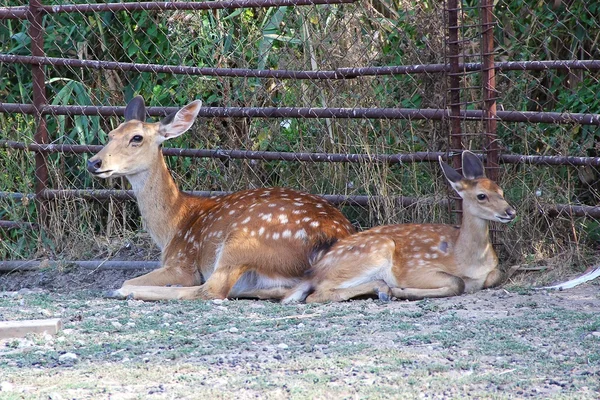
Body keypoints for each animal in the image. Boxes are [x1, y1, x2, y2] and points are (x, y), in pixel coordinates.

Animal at [86, 97, 354, 302]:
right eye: (110, 134)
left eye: (137, 138)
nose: (93, 162)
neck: (173, 226)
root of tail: (331, 239)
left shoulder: (183, 263)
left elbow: (130, 278)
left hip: (243, 239)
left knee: (211, 290)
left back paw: (122, 292)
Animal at [282, 151, 516, 304]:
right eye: (481, 196)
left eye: (501, 190)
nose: (510, 212)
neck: (466, 259)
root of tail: (313, 271)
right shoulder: (418, 269)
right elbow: (457, 283)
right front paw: (403, 291)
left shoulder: (493, 271)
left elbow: (496, 275)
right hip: (375, 250)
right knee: (316, 294)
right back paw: (385, 289)